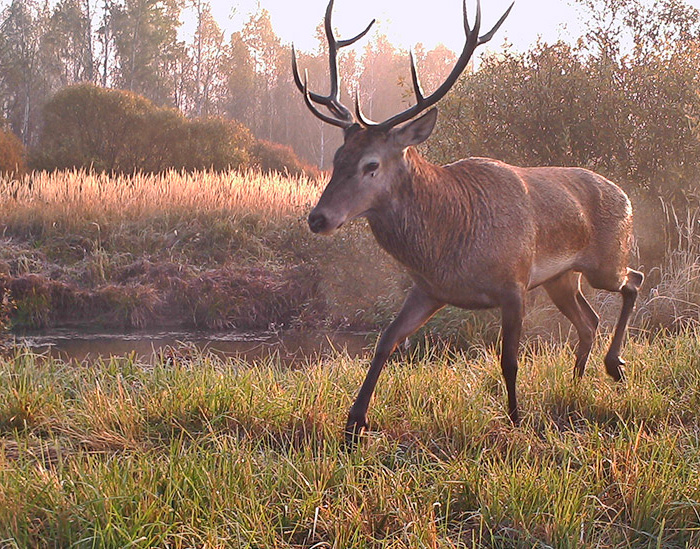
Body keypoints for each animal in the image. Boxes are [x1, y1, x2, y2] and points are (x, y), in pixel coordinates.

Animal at [292, 0, 644, 444]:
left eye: (371, 164)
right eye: (338, 158)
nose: (318, 218)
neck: (447, 243)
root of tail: (625, 194)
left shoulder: (514, 284)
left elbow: (509, 359)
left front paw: (516, 419)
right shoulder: (429, 289)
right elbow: (385, 341)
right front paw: (355, 422)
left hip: (606, 260)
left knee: (634, 280)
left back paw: (614, 365)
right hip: (561, 278)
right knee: (588, 319)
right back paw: (577, 379)